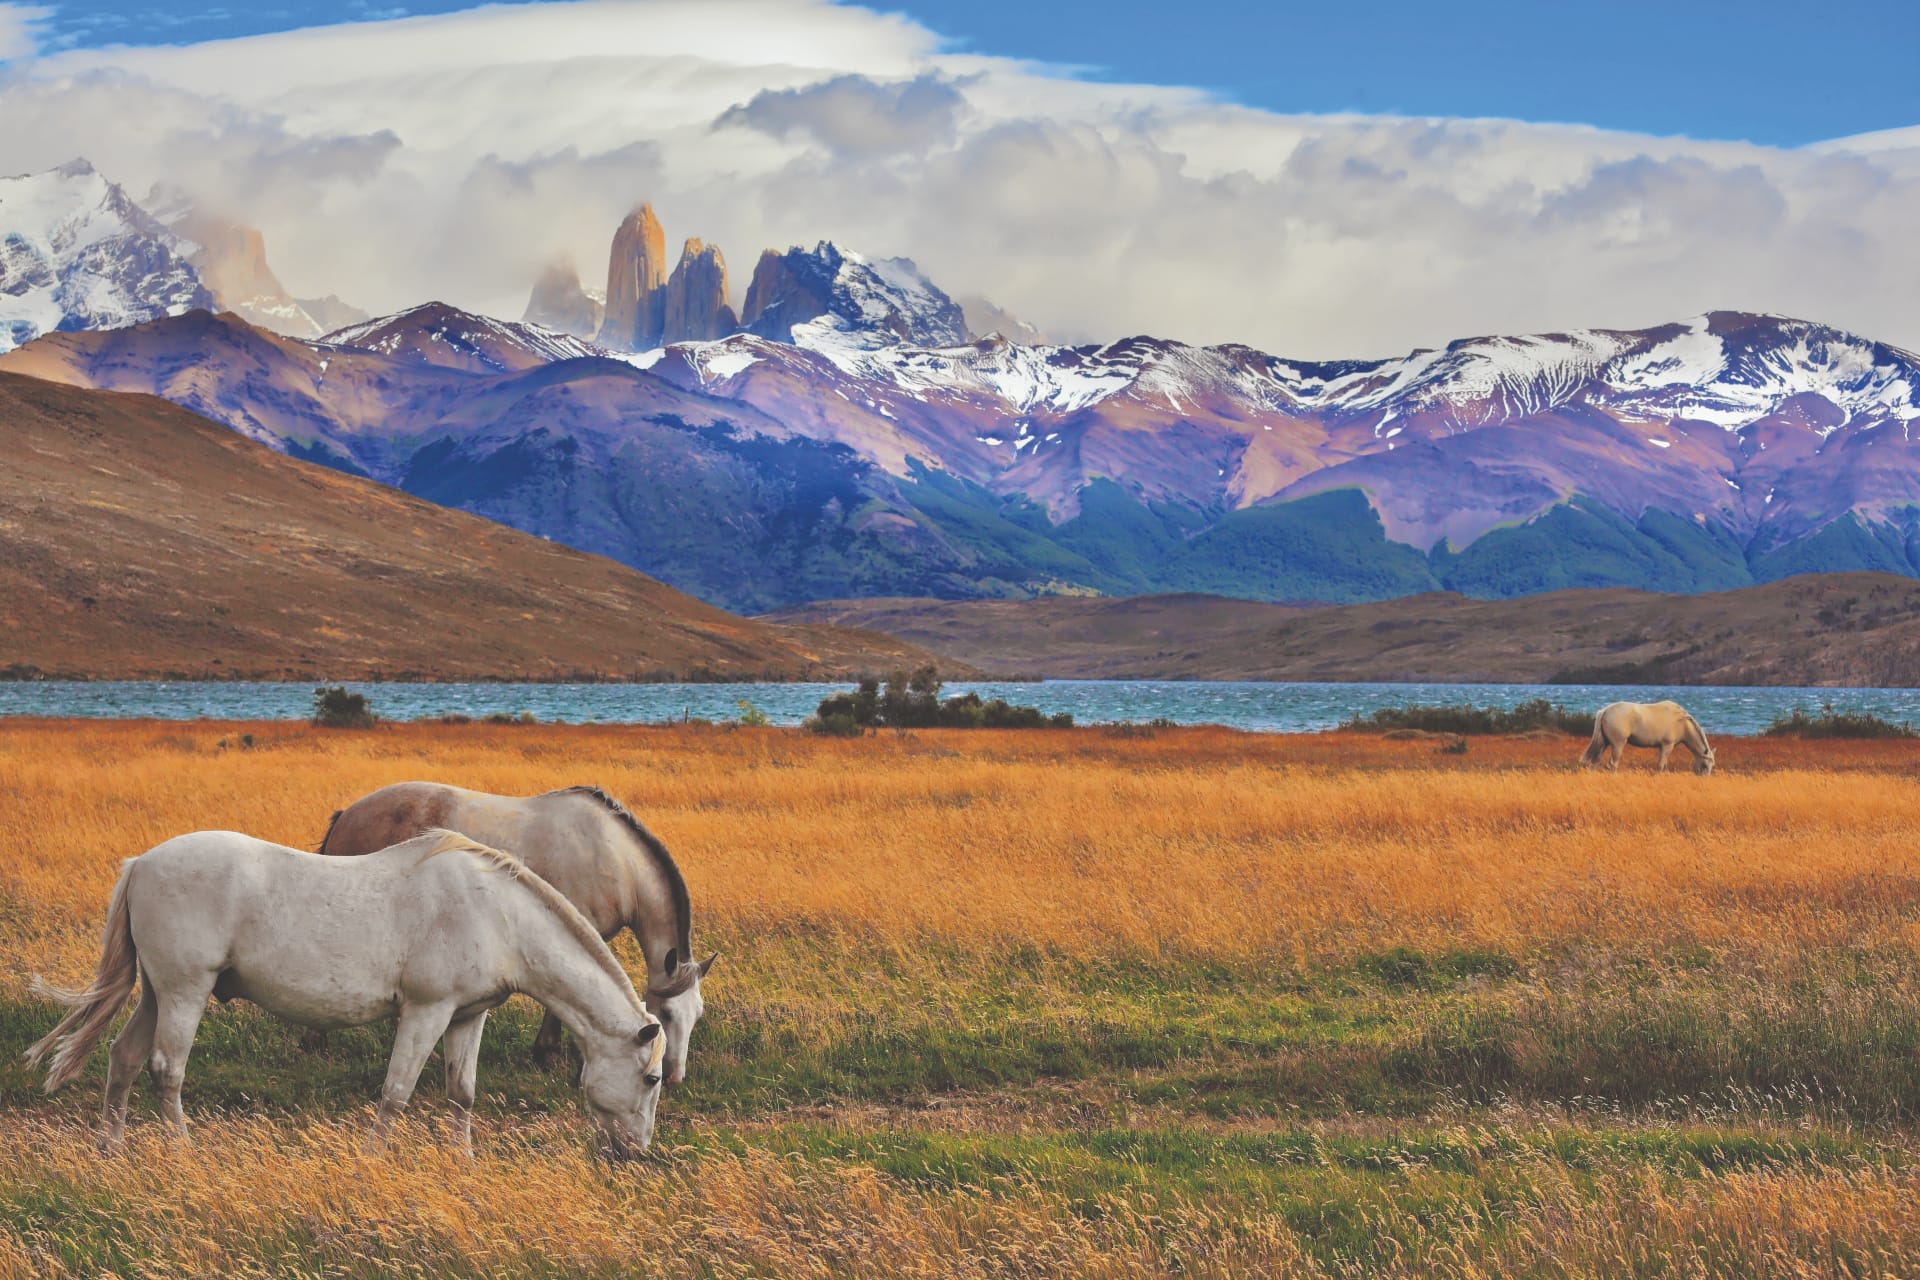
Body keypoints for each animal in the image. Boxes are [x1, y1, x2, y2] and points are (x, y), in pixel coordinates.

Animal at [18, 825, 668, 1159]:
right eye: (652, 1078)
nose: (634, 1154)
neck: (496, 914)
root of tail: (142, 864)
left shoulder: (467, 1017)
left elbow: (461, 1094)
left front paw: (462, 1162)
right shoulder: (425, 1012)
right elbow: (396, 1093)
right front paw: (374, 1161)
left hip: (156, 992)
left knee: (124, 1059)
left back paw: (112, 1151)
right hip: (184, 992)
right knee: (165, 1069)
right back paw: (182, 1153)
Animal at [326, 782, 718, 1082]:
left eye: (697, 1015)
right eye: (666, 1013)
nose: (674, 1076)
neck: (616, 859)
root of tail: (347, 814)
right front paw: (551, 1055)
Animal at [1582, 694, 1720, 775]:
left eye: (1712, 766)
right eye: (1704, 765)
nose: (1703, 780)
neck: (1681, 722)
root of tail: (1605, 710)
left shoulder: (1663, 748)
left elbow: (1663, 765)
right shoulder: (1667, 746)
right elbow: (1660, 766)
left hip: (1604, 743)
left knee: (1596, 761)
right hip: (1618, 744)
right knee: (1612, 764)